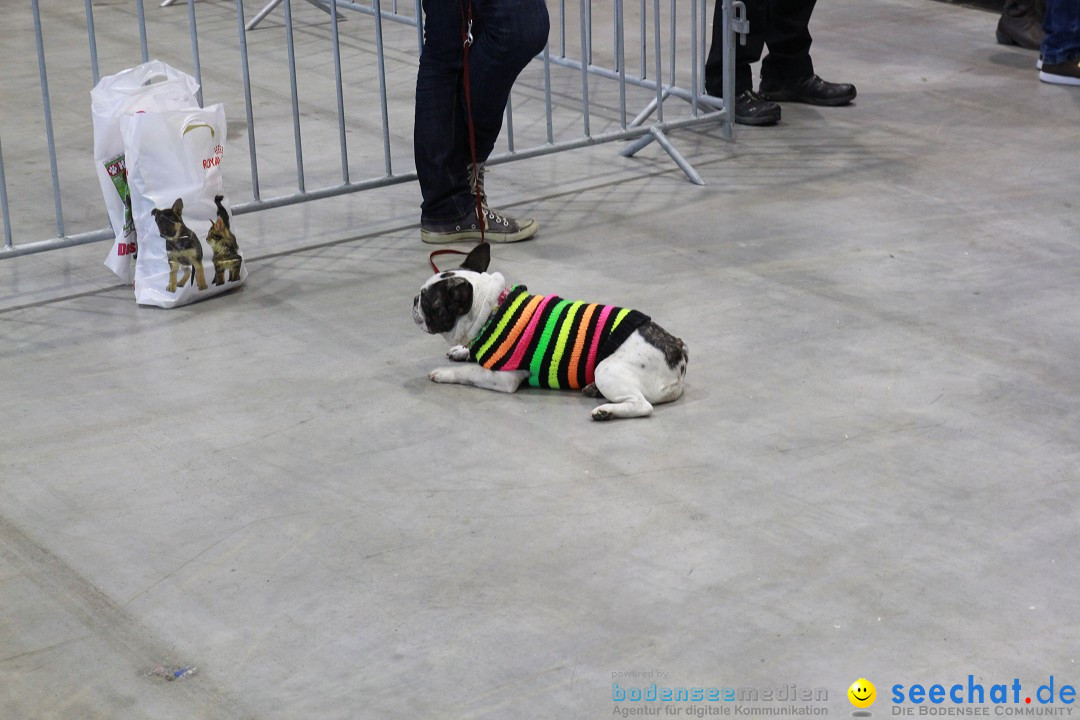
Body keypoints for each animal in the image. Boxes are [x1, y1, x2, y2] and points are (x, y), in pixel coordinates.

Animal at [408, 245, 686, 418]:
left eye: (427, 302)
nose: (413, 300)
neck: (491, 309)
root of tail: (679, 355)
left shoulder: (503, 377)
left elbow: (469, 373)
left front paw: (444, 372)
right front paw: (460, 350)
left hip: (606, 368)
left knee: (643, 405)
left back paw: (605, 411)